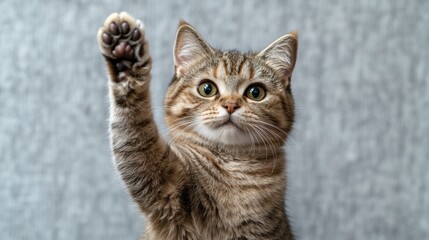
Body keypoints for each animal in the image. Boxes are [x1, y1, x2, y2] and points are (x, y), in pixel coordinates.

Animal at [97, 11, 298, 240]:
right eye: (207, 89)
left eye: (256, 92)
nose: (230, 104)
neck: (233, 166)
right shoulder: (165, 189)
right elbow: (136, 130)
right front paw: (125, 57)